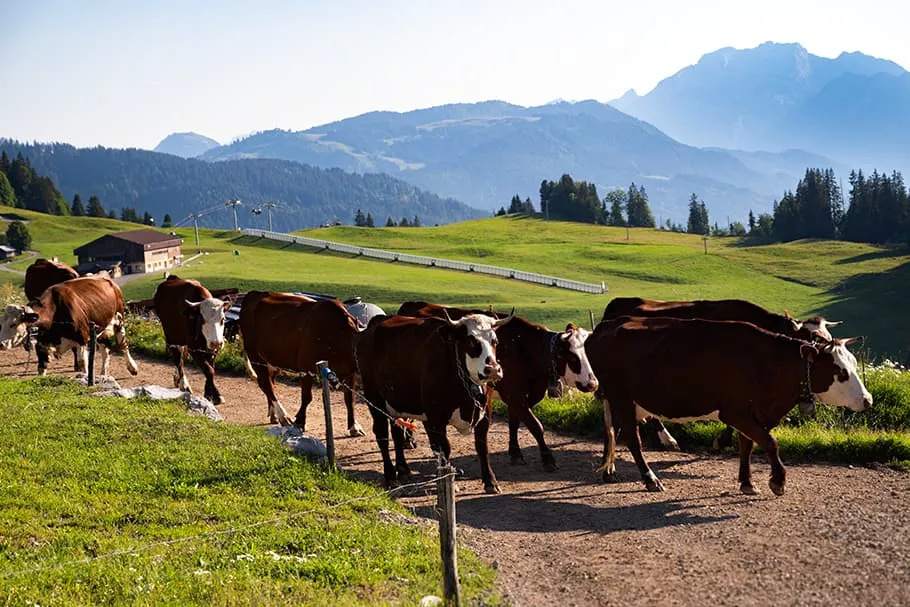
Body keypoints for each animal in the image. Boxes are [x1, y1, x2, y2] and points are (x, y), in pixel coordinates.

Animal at [154, 278, 233, 406]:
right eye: (203, 319)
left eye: (222, 319)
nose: (216, 342)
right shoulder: (194, 349)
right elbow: (209, 370)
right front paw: (209, 395)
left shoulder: (213, 350)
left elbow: (210, 369)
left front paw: (215, 394)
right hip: (171, 336)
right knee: (177, 358)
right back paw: (184, 384)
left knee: (181, 357)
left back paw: (177, 379)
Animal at [240, 290, 366, 436]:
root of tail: (254, 293)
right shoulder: (306, 367)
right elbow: (307, 397)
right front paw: (299, 422)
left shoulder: (349, 372)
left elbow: (349, 399)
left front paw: (354, 426)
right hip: (254, 354)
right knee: (267, 384)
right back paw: (283, 416)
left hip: (273, 359)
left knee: (268, 382)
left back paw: (274, 414)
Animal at [356, 312, 512, 492]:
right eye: (470, 341)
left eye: (495, 341)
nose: (492, 369)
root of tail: (377, 321)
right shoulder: (436, 420)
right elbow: (444, 449)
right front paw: (447, 482)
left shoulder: (485, 414)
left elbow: (482, 447)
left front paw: (490, 481)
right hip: (374, 399)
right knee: (382, 434)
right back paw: (390, 476)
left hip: (398, 405)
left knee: (397, 434)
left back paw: (403, 470)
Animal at [398, 302, 600, 486]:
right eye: (572, 357)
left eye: (587, 353)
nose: (593, 384)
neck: (522, 348)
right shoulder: (515, 395)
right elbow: (536, 426)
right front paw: (548, 459)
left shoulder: (521, 398)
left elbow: (514, 423)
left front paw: (515, 453)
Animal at [588, 316, 872, 496]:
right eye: (840, 372)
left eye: (853, 364)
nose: (867, 400)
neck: (766, 363)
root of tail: (605, 325)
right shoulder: (736, 412)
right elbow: (770, 442)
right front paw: (778, 481)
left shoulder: (755, 413)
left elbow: (748, 445)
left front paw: (747, 482)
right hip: (621, 396)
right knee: (632, 439)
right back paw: (650, 478)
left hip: (623, 400)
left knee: (613, 431)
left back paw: (610, 469)